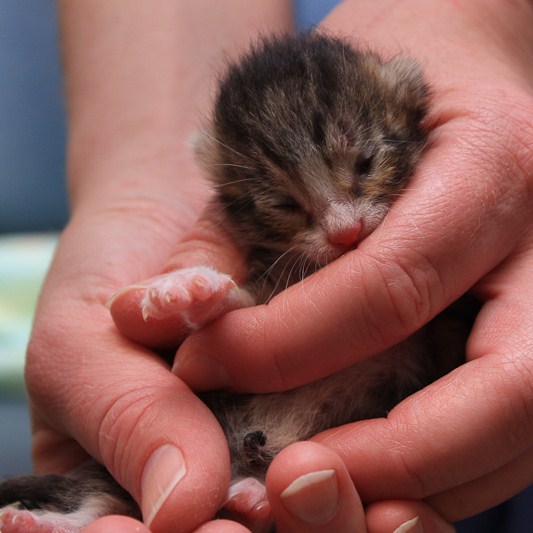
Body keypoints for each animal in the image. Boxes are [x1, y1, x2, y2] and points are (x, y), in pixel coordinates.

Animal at [0, 32, 474, 532]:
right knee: (101, 502)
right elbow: (241, 303)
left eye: (366, 163)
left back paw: (253, 497)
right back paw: (40, 522)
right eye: (284, 203)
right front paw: (190, 291)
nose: (345, 233)